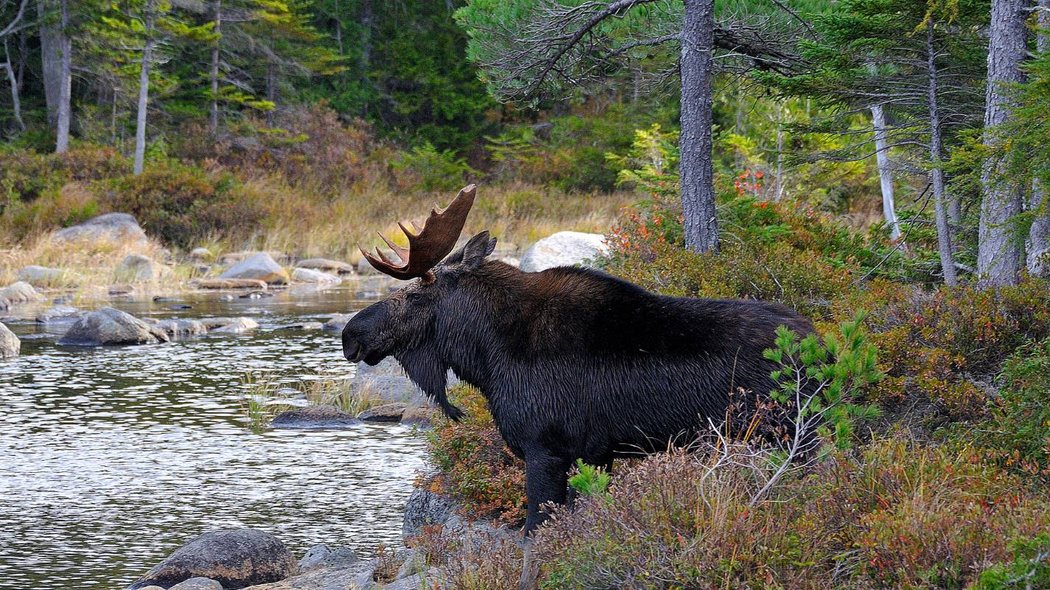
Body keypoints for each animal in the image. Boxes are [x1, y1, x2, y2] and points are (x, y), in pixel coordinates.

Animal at [342, 184, 810, 533]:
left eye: (414, 296)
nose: (351, 335)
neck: (487, 356)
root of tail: (820, 342)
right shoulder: (597, 454)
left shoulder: (545, 448)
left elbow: (534, 534)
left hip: (787, 436)